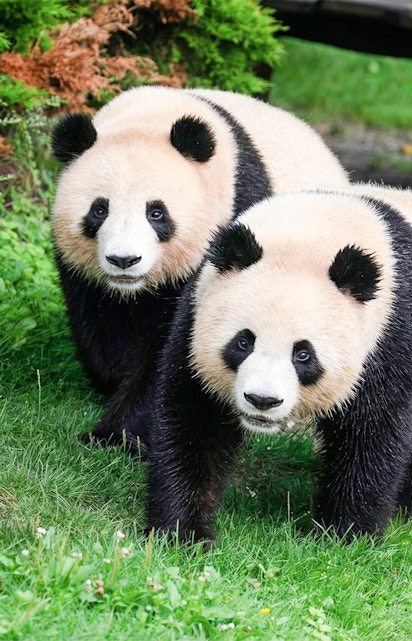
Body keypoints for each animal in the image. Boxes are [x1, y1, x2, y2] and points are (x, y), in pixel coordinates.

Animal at [51, 85, 348, 454]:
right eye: (99, 210)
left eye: (156, 213)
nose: (124, 260)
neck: (153, 115)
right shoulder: (83, 271)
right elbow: (98, 322)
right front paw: (112, 383)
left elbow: (173, 352)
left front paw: (117, 435)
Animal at [146, 185, 412, 542]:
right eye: (243, 342)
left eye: (303, 354)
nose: (263, 400)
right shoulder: (195, 313)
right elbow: (193, 422)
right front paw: (183, 532)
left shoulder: (389, 340)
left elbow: (372, 437)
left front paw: (343, 535)